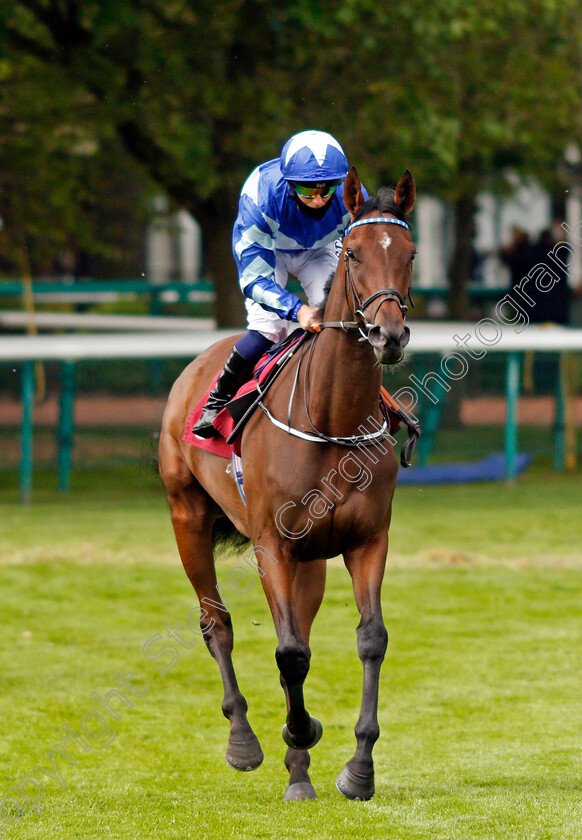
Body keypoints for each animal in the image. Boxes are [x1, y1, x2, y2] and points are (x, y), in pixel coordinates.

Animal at [157, 166, 418, 800]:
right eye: (353, 253)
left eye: (410, 254)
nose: (388, 335)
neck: (330, 417)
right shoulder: (271, 545)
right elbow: (289, 653)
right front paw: (298, 739)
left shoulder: (366, 541)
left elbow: (369, 639)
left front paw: (358, 768)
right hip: (187, 516)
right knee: (217, 624)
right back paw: (245, 742)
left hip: (312, 559)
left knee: (299, 623)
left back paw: (298, 761)